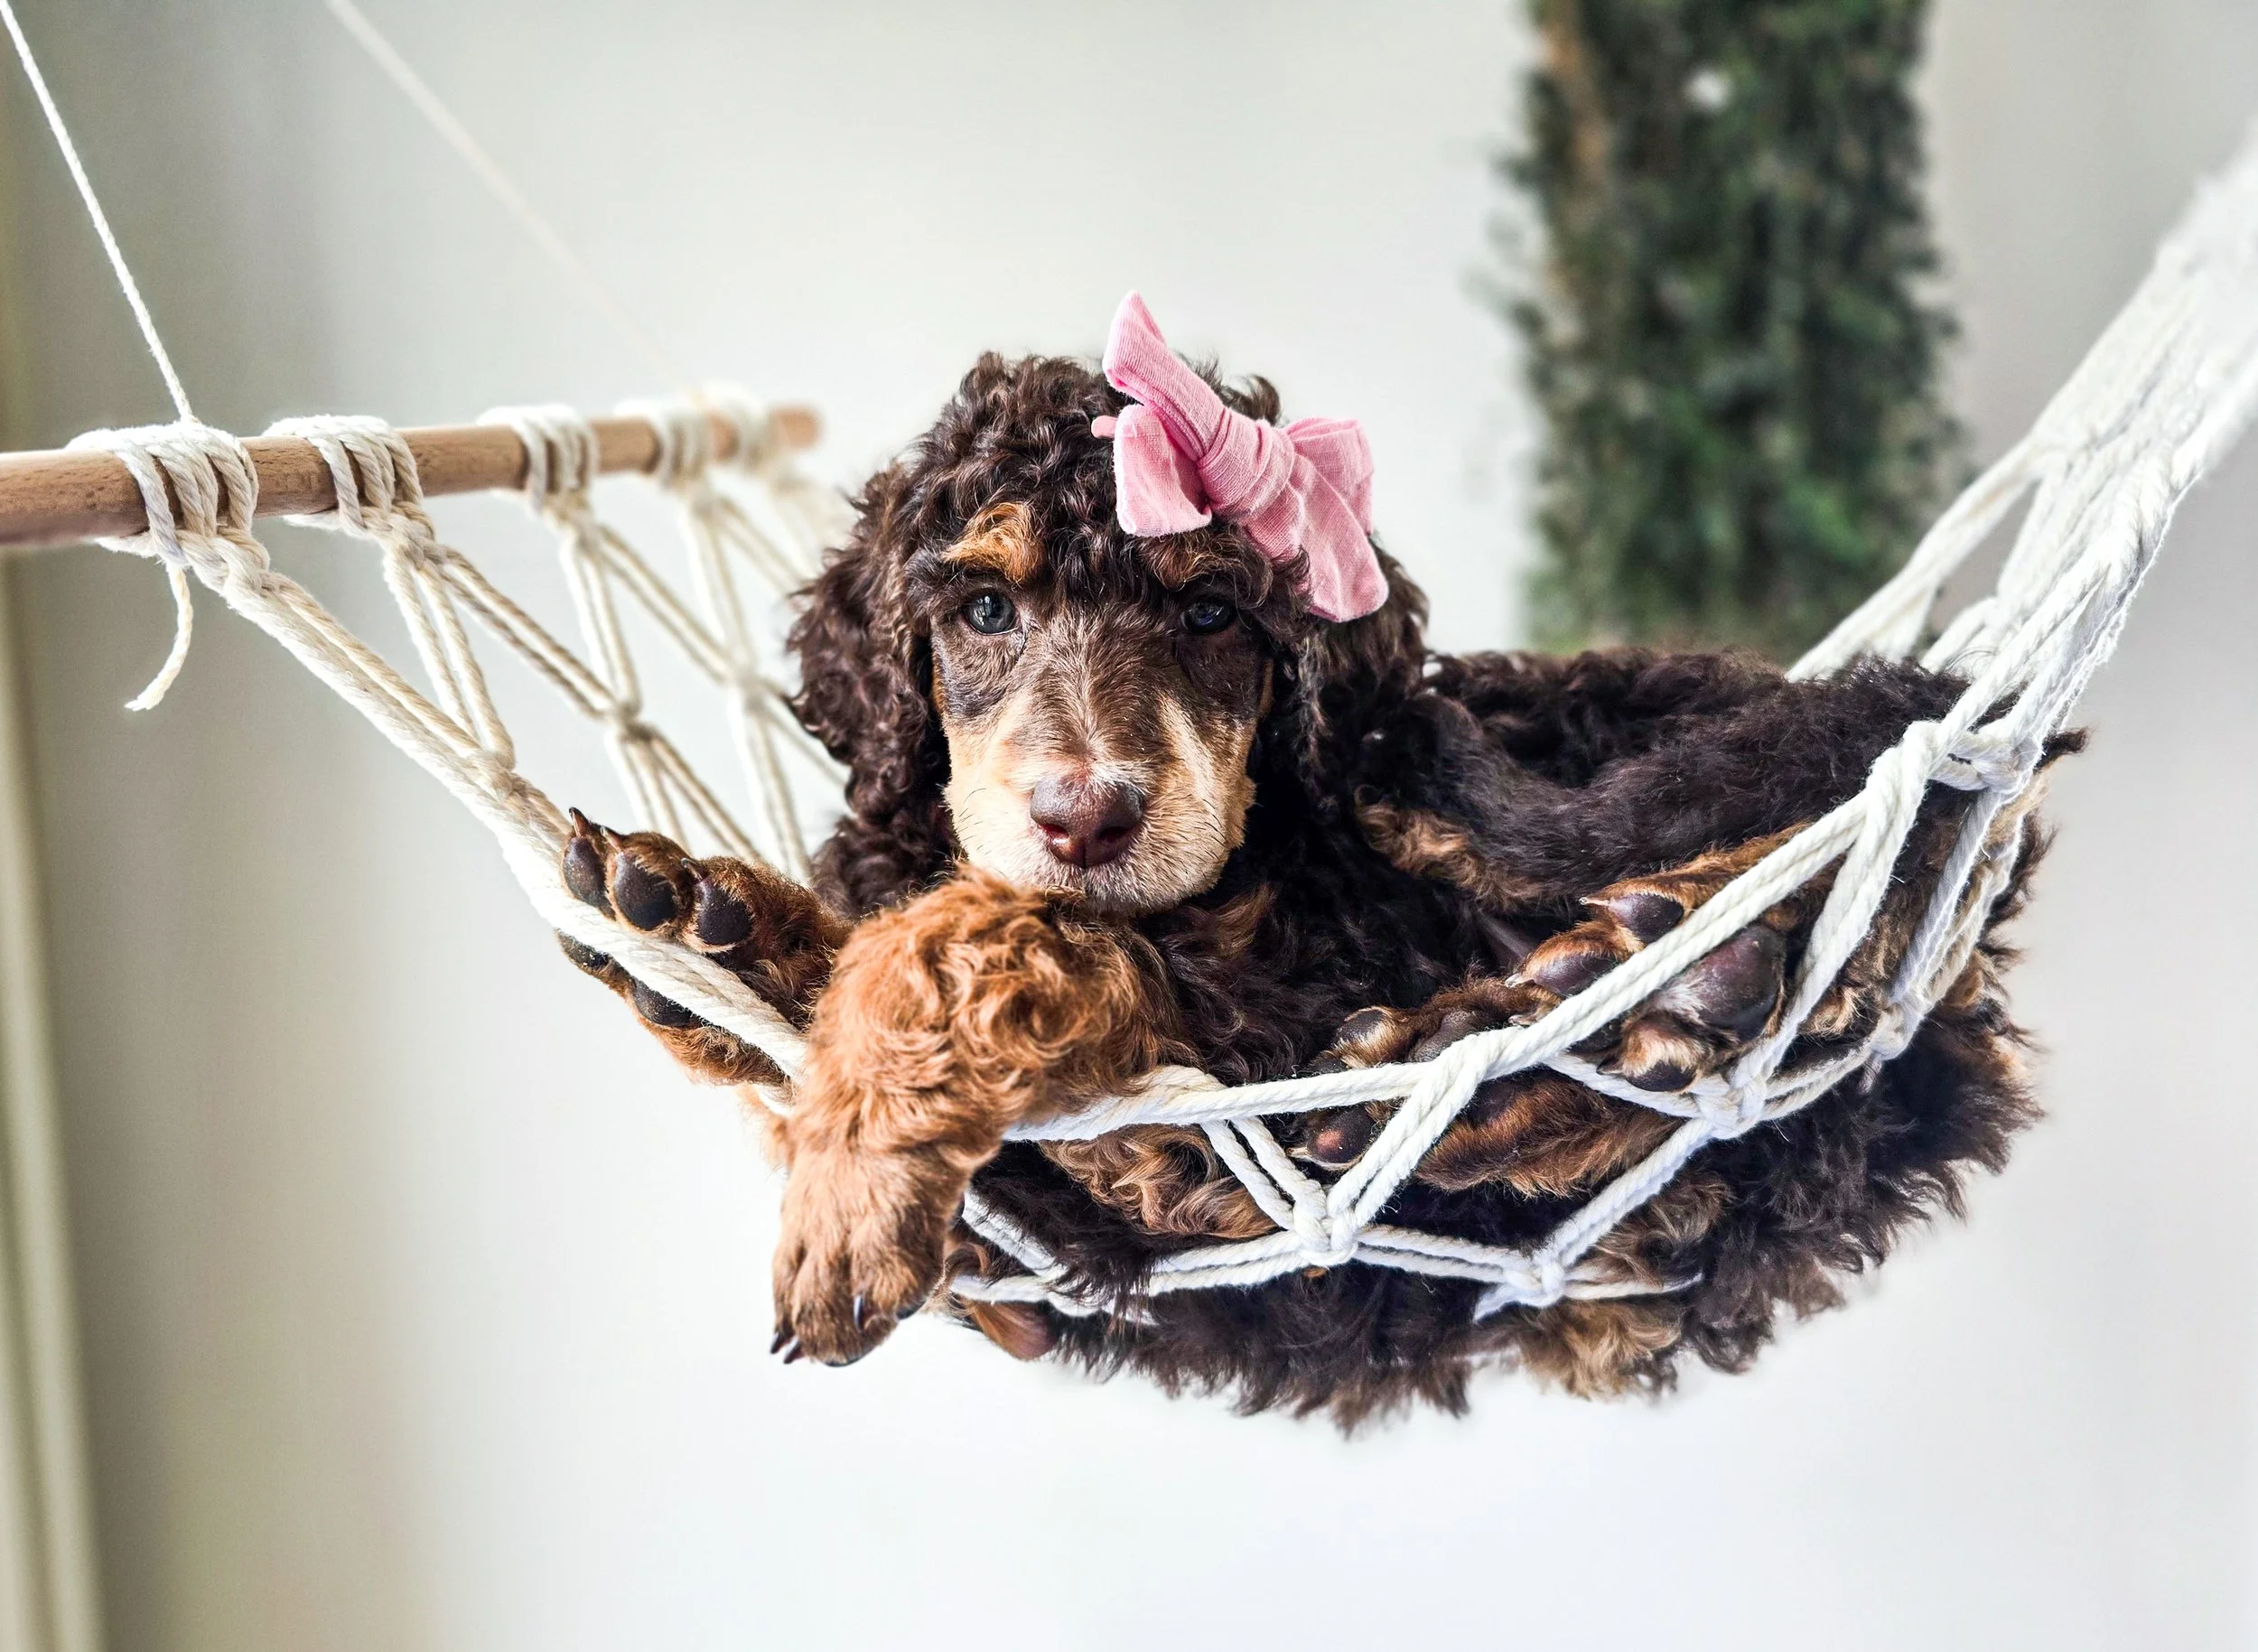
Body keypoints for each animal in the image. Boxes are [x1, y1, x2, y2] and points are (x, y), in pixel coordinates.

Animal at [554, 304, 2056, 1424]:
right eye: (984, 608)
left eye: (1214, 613)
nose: (1087, 818)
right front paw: (716, 923)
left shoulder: (1263, 1006)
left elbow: (990, 930)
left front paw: (850, 1183)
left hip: (1496, 772)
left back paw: (1676, 989)